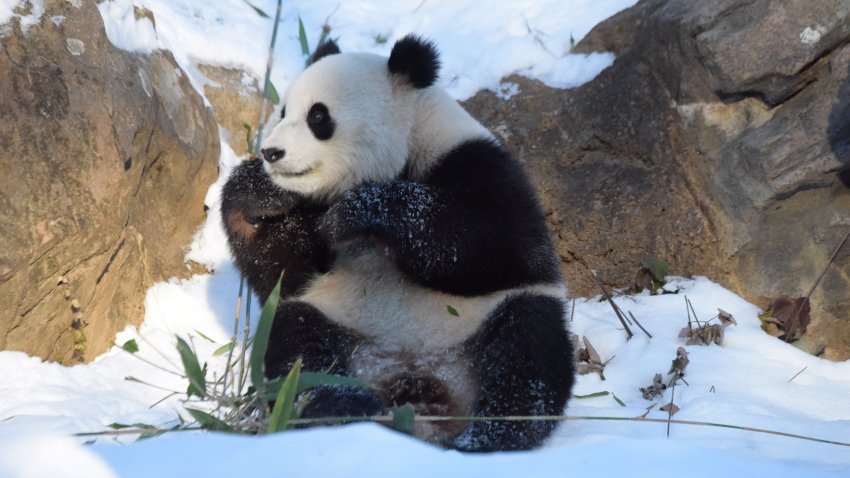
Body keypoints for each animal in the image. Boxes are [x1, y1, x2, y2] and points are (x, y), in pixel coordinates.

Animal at [222, 34, 572, 452]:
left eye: (318, 117)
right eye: (283, 111)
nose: (272, 153)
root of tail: (416, 381)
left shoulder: (477, 163)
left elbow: (499, 245)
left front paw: (359, 210)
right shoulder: (305, 237)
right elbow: (282, 271)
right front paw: (259, 192)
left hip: (485, 320)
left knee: (527, 352)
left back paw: (485, 437)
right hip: (332, 320)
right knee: (298, 357)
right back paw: (348, 408)